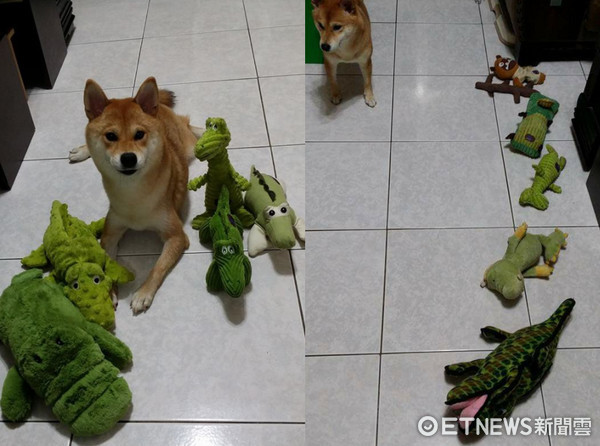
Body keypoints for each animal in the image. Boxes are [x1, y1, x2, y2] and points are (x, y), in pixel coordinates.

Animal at [69, 76, 203, 314]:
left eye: (139, 134)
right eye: (111, 136)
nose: (128, 158)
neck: (133, 195)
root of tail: (159, 109)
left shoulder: (176, 236)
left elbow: (157, 267)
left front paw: (143, 294)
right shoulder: (110, 233)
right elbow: (107, 264)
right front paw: (110, 292)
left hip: (189, 146)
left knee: (188, 124)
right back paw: (81, 150)